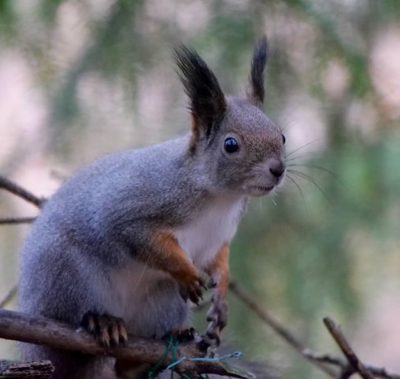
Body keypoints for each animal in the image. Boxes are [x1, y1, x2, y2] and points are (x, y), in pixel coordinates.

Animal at [18, 37, 286, 379]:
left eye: (282, 135)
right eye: (231, 145)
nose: (278, 170)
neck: (220, 198)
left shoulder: (217, 239)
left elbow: (219, 262)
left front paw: (221, 298)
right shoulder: (137, 207)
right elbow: (145, 240)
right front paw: (187, 273)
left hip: (160, 302)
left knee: (126, 366)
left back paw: (161, 345)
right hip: (66, 274)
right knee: (74, 316)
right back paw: (101, 321)